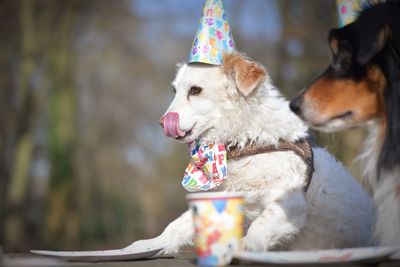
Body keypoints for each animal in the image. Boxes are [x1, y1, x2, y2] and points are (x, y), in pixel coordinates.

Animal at [127, 52, 376, 255]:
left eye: (195, 90)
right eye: (174, 91)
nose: (162, 123)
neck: (246, 141)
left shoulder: (290, 202)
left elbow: (261, 224)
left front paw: (245, 246)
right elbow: (178, 225)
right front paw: (147, 245)